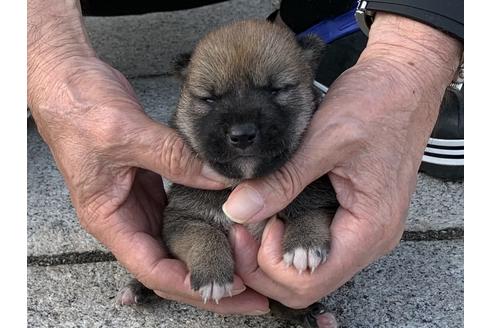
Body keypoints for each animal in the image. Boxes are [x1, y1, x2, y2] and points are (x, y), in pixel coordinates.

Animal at [121, 20, 340, 328]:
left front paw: (304, 246)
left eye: (277, 89)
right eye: (209, 98)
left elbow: (309, 211)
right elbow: (203, 233)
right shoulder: (181, 218)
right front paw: (212, 274)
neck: (242, 183)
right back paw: (139, 289)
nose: (242, 135)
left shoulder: (323, 196)